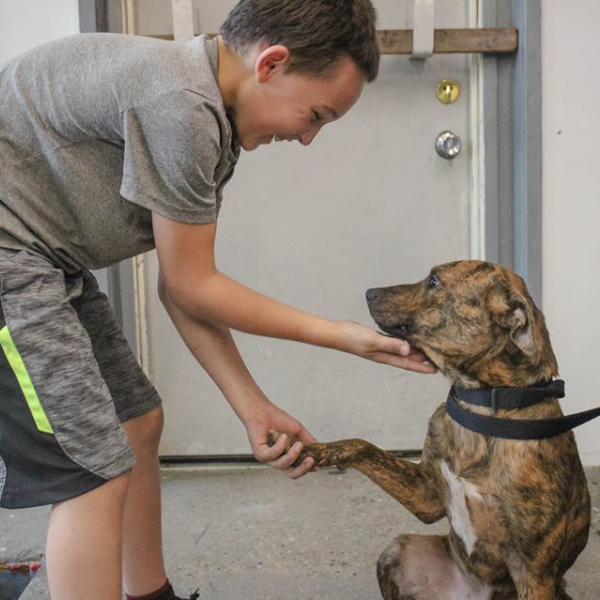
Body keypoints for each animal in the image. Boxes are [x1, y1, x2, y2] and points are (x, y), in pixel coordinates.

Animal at [278, 260, 596, 600]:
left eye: (434, 281)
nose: (369, 292)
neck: (480, 407)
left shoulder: (533, 572)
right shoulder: (426, 495)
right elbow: (362, 445)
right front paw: (313, 450)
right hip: (398, 551)